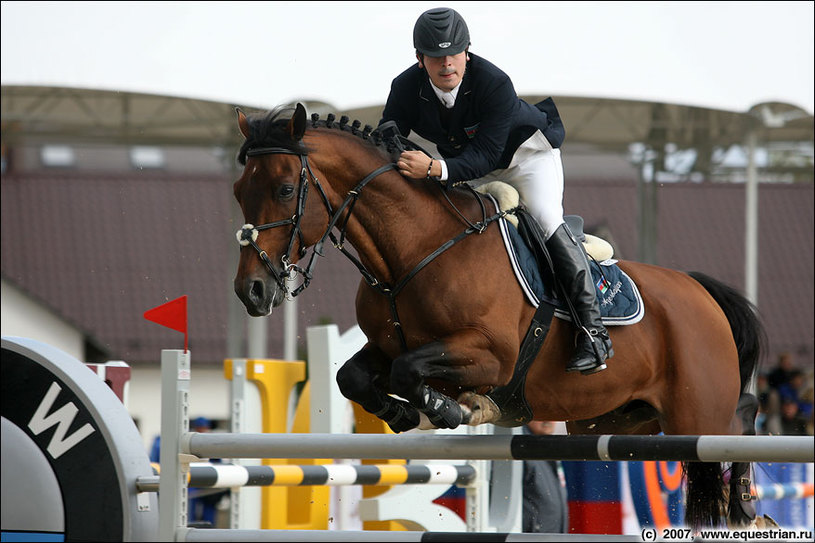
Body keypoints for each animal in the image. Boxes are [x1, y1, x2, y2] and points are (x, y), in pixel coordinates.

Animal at [234, 104, 764, 528]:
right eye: (239, 190)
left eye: (286, 189)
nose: (251, 292)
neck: (416, 249)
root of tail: (701, 291)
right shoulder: (386, 347)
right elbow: (353, 376)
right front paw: (403, 413)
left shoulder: (491, 356)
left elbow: (410, 371)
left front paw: (457, 408)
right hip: (620, 421)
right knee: (736, 413)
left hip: (694, 412)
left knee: (737, 421)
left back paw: (743, 499)